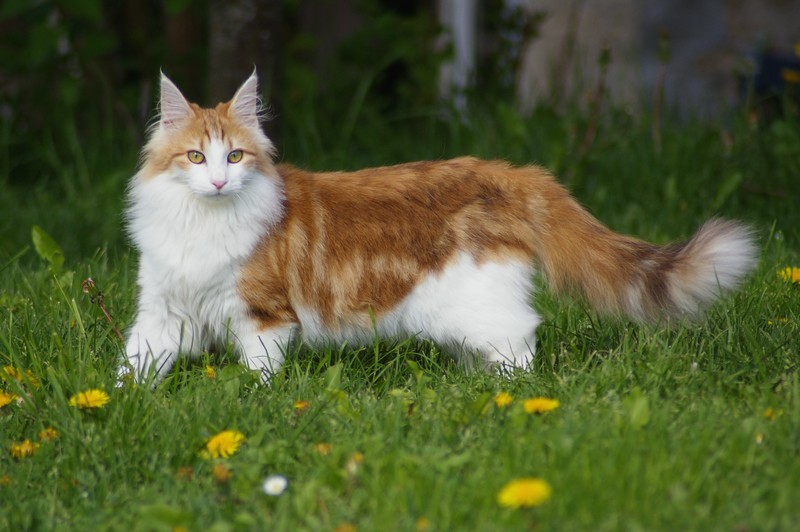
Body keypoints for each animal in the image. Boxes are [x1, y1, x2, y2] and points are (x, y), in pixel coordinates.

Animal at [122, 72, 760, 384]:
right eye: (196, 158)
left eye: (235, 157)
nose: (218, 183)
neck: (199, 225)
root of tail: (507, 171)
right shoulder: (162, 310)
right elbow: (135, 364)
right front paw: (123, 404)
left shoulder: (263, 316)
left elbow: (257, 374)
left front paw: (256, 406)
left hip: (476, 301)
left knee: (521, 341)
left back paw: (514, 399)